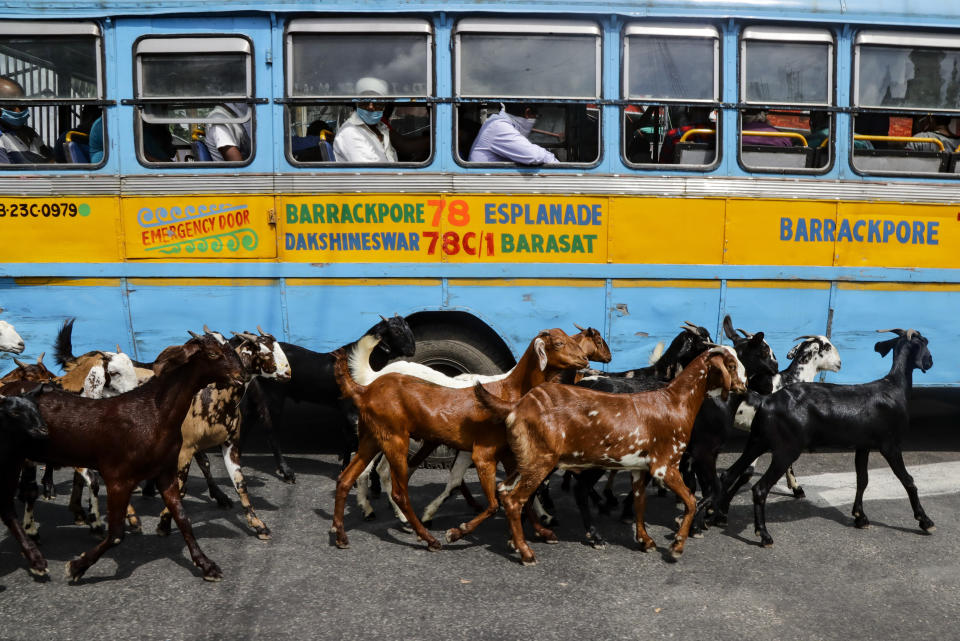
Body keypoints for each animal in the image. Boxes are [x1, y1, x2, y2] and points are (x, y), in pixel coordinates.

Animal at [249, 316, 414, 480]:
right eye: (396, 331)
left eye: (407, 326)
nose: (412, 349)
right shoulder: (350, 409)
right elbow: (351, 438)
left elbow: (348, 438)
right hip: (274, 396)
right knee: (272, 432)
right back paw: (286, 472)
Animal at [330, 330, 588, 552]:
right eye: (559, 343)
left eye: (572, 338)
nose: (585, 360)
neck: (508, 390)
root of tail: (365, 388)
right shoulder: (482, 453)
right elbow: (492, 501)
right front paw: (457, 531)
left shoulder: (508, 453)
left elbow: (516, 494)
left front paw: (542, 529)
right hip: (394, 439)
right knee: (396, 489)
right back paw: (425, 536)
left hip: (373, 438)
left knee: (347, 478)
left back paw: (342, 533)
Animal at [476, 348, 748, 564]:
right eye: (731, 365)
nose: (744, 385)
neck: (673, 402)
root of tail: (516, 406)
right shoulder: (666, 465)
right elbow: (691, 501)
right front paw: (677, 546)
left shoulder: (640, 467)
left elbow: (639, 503)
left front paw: (645, 540)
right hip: (541, 461)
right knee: (516, 499)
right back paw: (527, 551)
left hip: (527, 460)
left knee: (504, 490)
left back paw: (516, 540)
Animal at [724, 330, 932, 544]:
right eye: (925, 342)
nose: (930, 362)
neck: (894, 388)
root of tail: (766, 402)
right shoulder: (890, 445)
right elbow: (907, 480)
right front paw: (924, 520)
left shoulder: (863, 445)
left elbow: (862, 479)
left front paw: (860, 516)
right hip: (785, 449)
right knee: (759, 488)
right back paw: (763, 534)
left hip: (758, 441)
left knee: (729, 474)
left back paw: (716, 515)